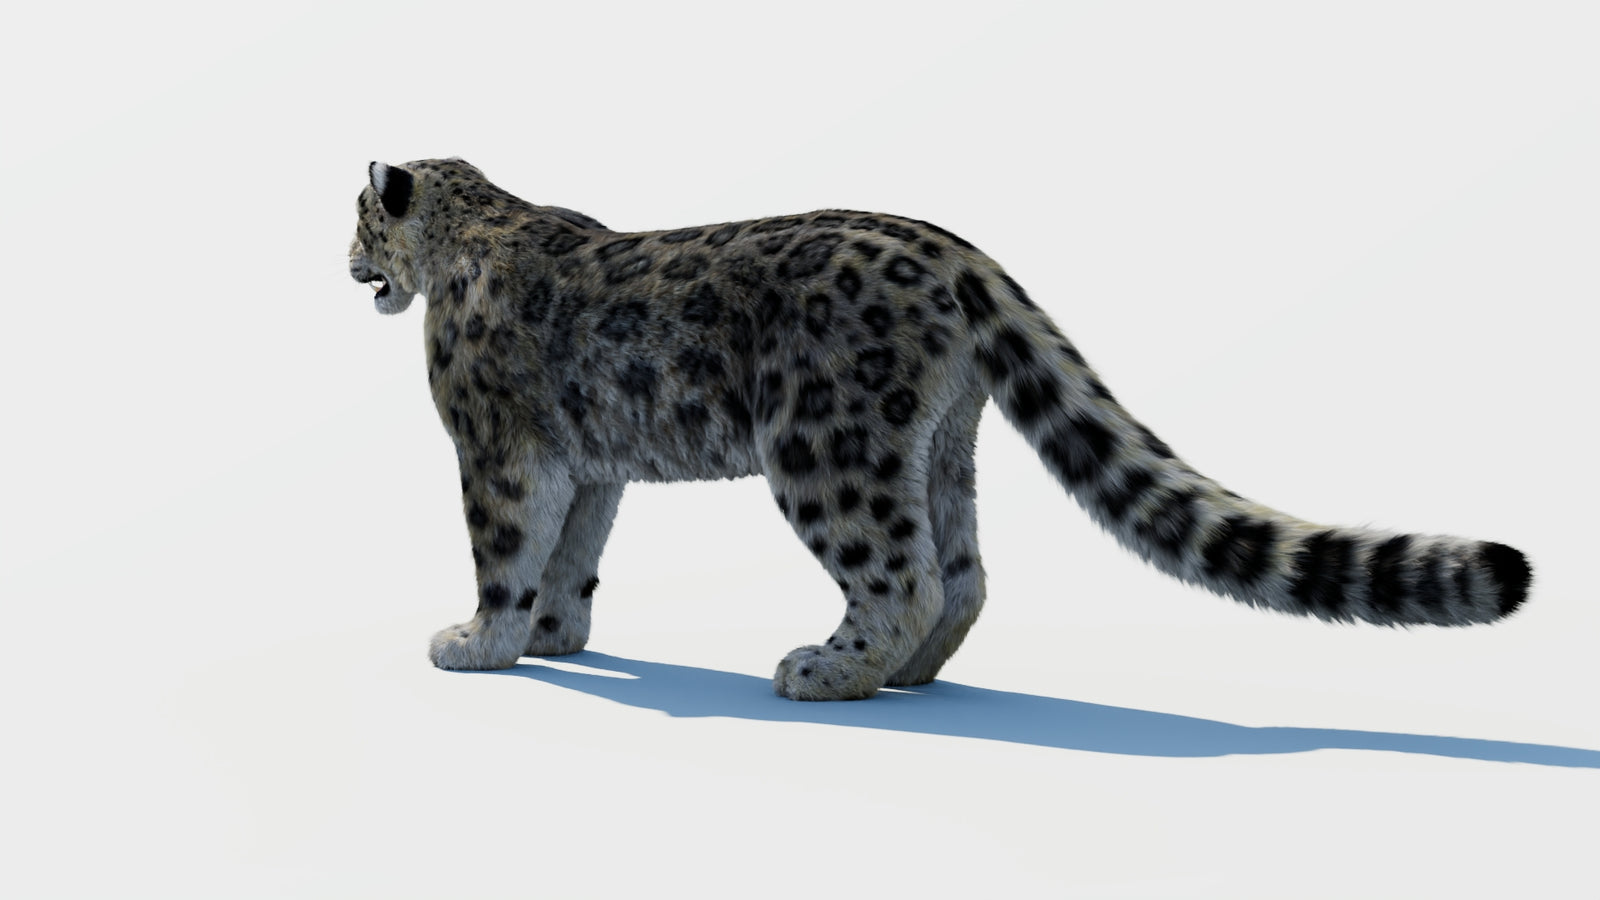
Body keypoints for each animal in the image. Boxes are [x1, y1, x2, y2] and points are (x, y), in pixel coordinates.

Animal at [348, 158, 1532, 701]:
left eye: (358, 217)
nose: (346, 262)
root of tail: (957, 250)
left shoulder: (497, 451)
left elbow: (508, 550)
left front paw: (477, 643)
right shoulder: (592, 465)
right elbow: (574, 555)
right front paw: (556, 636)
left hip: (823, 443)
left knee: (898, 570)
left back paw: (826, 671)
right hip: (931, 443)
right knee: (960, 569)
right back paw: (911, 672)